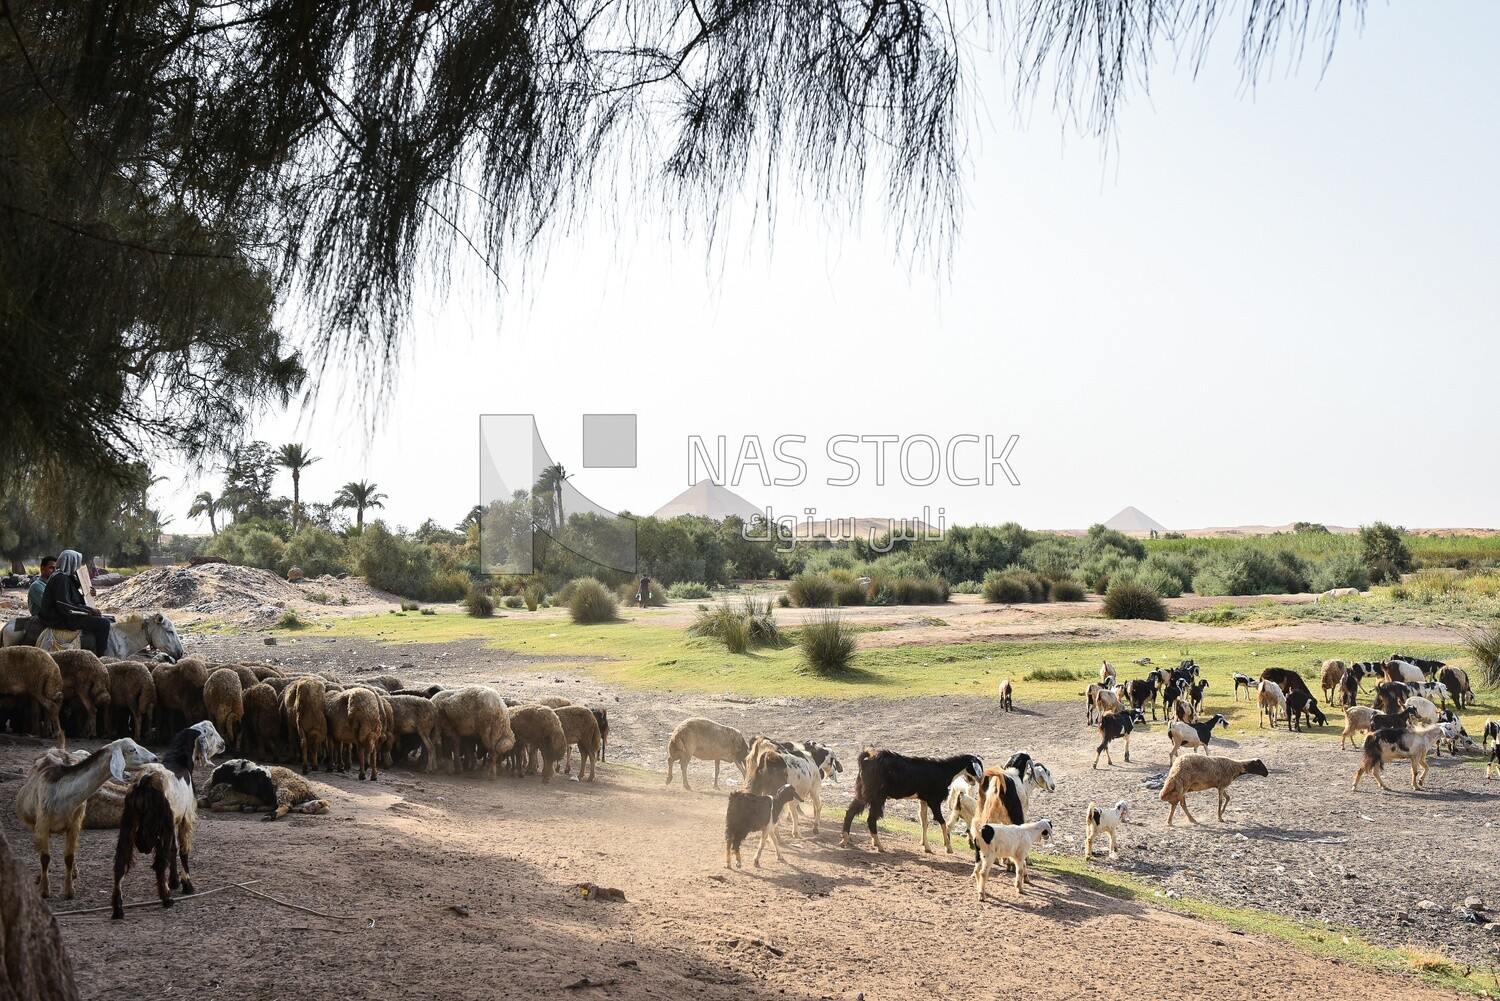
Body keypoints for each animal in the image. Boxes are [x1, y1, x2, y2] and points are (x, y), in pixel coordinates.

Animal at [14, 735, 157, 900]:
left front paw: (69, 891)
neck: (63, 795)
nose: (155, 758)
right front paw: (44, 890)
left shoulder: (75, 824)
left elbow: (69, 856)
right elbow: (45, 857)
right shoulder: (42, 824)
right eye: (132, 749)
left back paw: (74, 872)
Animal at [196, 762, 331, 816]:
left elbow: (215, 806)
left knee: (285, 806)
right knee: (293, 807)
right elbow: (200, 802)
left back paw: (269, 815)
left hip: (285, 789)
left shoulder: (234, 796)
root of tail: (308, 789)